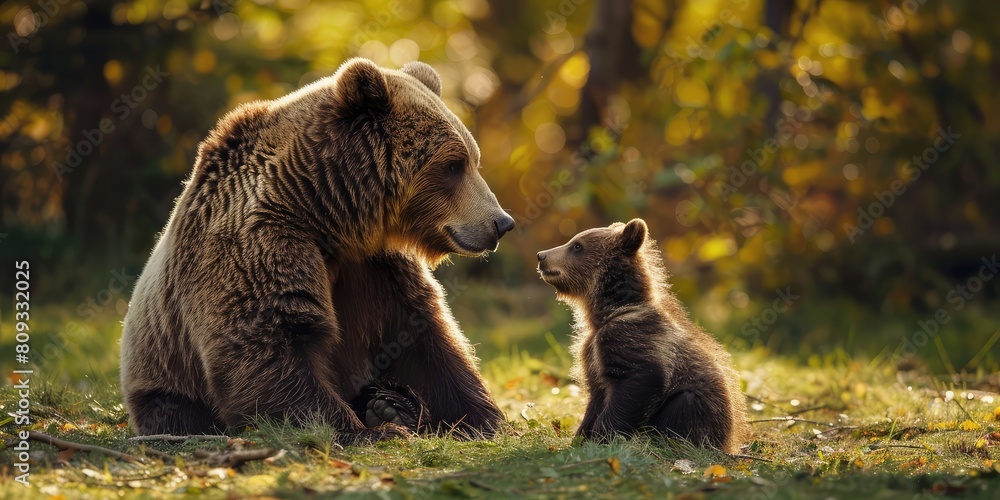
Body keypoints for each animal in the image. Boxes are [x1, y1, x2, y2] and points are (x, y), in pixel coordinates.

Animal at [120, 58, 515, 443]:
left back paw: (391, 404)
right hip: (166, 380)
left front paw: (485, 420)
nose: (501, 223)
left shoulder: (378, 265)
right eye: (453, 165)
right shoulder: (260, 243)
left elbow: (424, 338)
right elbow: (272, 343)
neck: (325, 214)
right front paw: (366, 431)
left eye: (472, 159)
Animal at [536, 219, 750, 453]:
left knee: (685, 405)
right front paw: (580, 438)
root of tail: (730, 443)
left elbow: (638, 383)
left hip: (704, 409)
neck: (607, 313)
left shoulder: (632, 339)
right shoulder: (592, 353)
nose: (541, 256)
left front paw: (604, 438)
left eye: (576, 246)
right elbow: (595, 397)